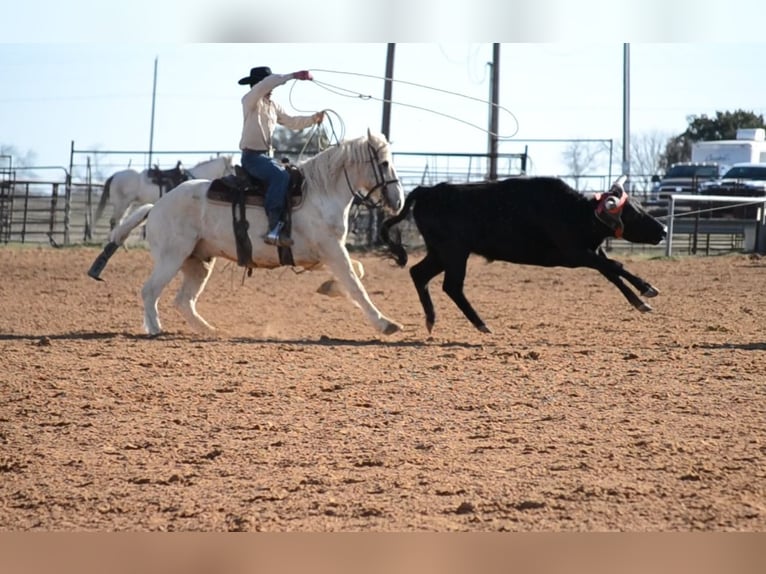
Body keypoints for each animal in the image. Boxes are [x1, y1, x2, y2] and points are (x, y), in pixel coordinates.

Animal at [94, 158, 236, 232]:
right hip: (121, 203)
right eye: (233, 168)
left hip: (128, 204)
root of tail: (114, 176)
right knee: (114, 221)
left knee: (119, 222)